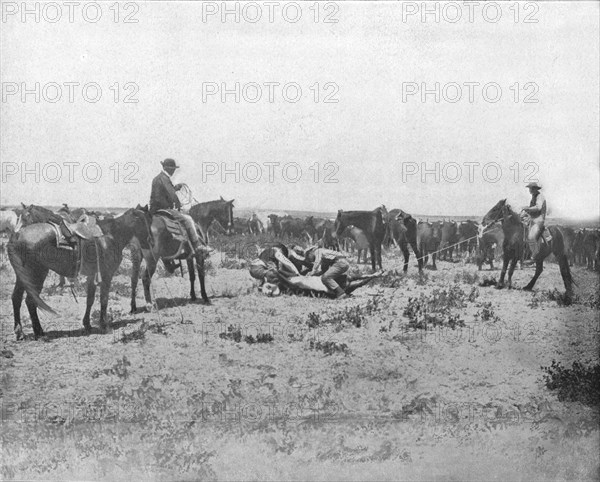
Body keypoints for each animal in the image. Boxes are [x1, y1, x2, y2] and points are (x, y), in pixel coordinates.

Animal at [7, 207, 149, 338]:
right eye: (143, 221)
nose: (148, 241)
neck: (111, 236)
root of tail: (17, 235)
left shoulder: (92, 276)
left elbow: (90, 300)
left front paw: (87, 325)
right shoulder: (107, 276)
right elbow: (104, 300)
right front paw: (104, 325)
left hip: (23, 276)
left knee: (16, 298)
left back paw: (20, 332)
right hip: (37, 274)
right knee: (30, 301)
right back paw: (38, 332)